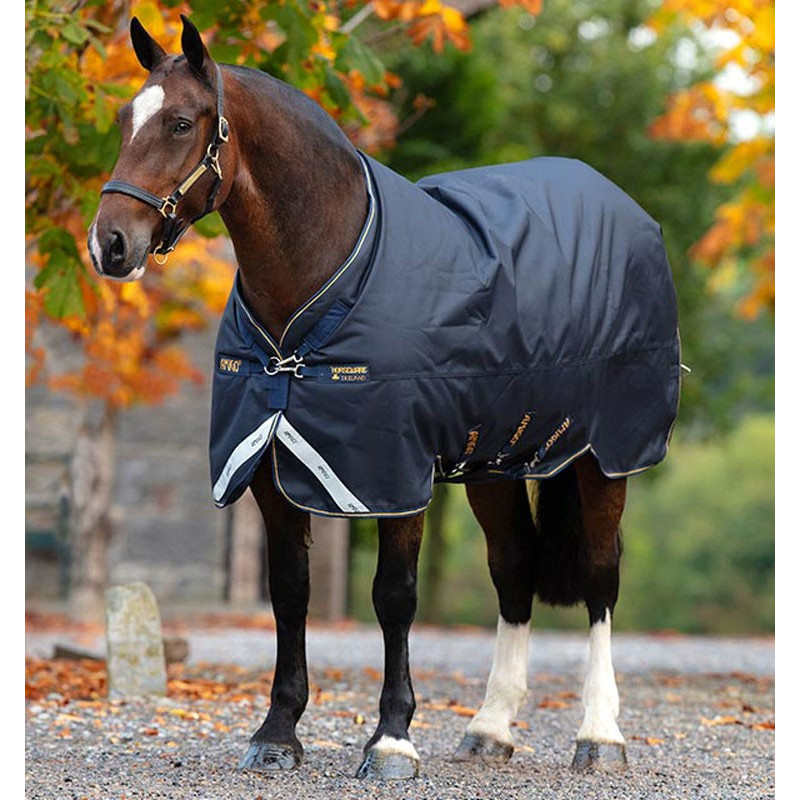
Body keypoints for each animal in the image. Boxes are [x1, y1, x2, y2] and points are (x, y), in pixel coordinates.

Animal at [88, 15, 680, 780]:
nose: (109, 245)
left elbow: (394, 596)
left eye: (182, 123)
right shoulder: (270, 474)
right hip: (495, 461)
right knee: (514, 568)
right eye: (123, 119)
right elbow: (290, 593)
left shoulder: (393, 474)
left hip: (604, 456)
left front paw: (392, 739)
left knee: (602, 578)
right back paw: (490, 727)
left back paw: (600, 735)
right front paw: (277, 733)